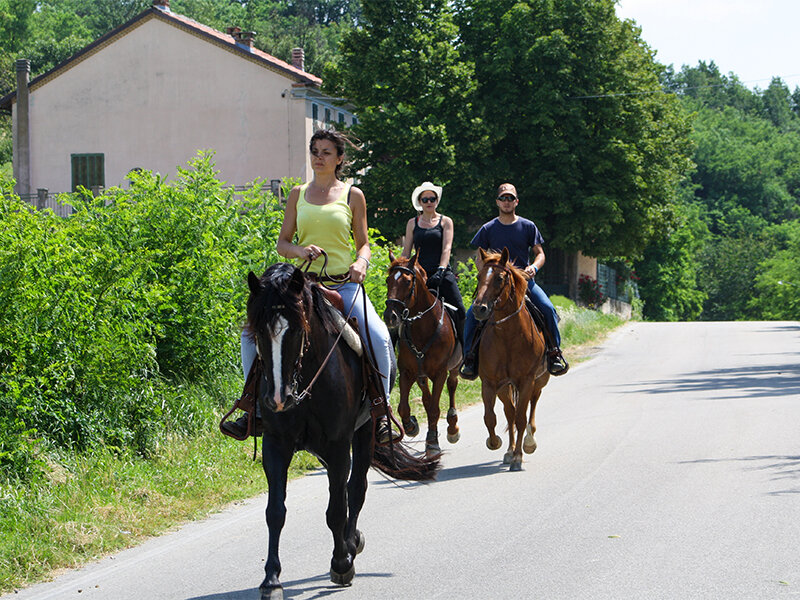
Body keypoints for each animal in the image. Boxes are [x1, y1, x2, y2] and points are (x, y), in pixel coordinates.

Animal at [247, 264, 440, 600]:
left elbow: (337, 508)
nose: (278, 398)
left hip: (363, 434)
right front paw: (271, 580)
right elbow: (275, 512)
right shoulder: (276, 444)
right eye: (257, 332)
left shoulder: (338, 444)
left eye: (296, 330)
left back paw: (350, 543)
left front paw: (341, 563)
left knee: (356, 488)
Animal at [382, 251, 460, 458]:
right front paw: (410, 425)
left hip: (454, 367)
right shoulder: (407, 372)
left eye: (408, 282)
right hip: (421, 374)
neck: (423, 326)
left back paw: (452, 426)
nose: (390, 316)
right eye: (388, 280)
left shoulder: (440, 373)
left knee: (452, 386)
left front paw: (432, 442)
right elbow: (403, 408)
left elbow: (434, 409)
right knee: (426, 394)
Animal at [468, 246, 552, 472]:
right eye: (479, 277)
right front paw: (495, 442)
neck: (508, 335)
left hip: (539, 381)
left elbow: (522, 418)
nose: (479, 309)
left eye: (499, 278)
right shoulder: (489, 383)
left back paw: (528, 443)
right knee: (509, 413)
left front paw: (518, 458)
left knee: (531, 407)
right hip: (505, 388)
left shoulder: (526, 381)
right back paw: (509, 450)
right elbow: (491, 417)